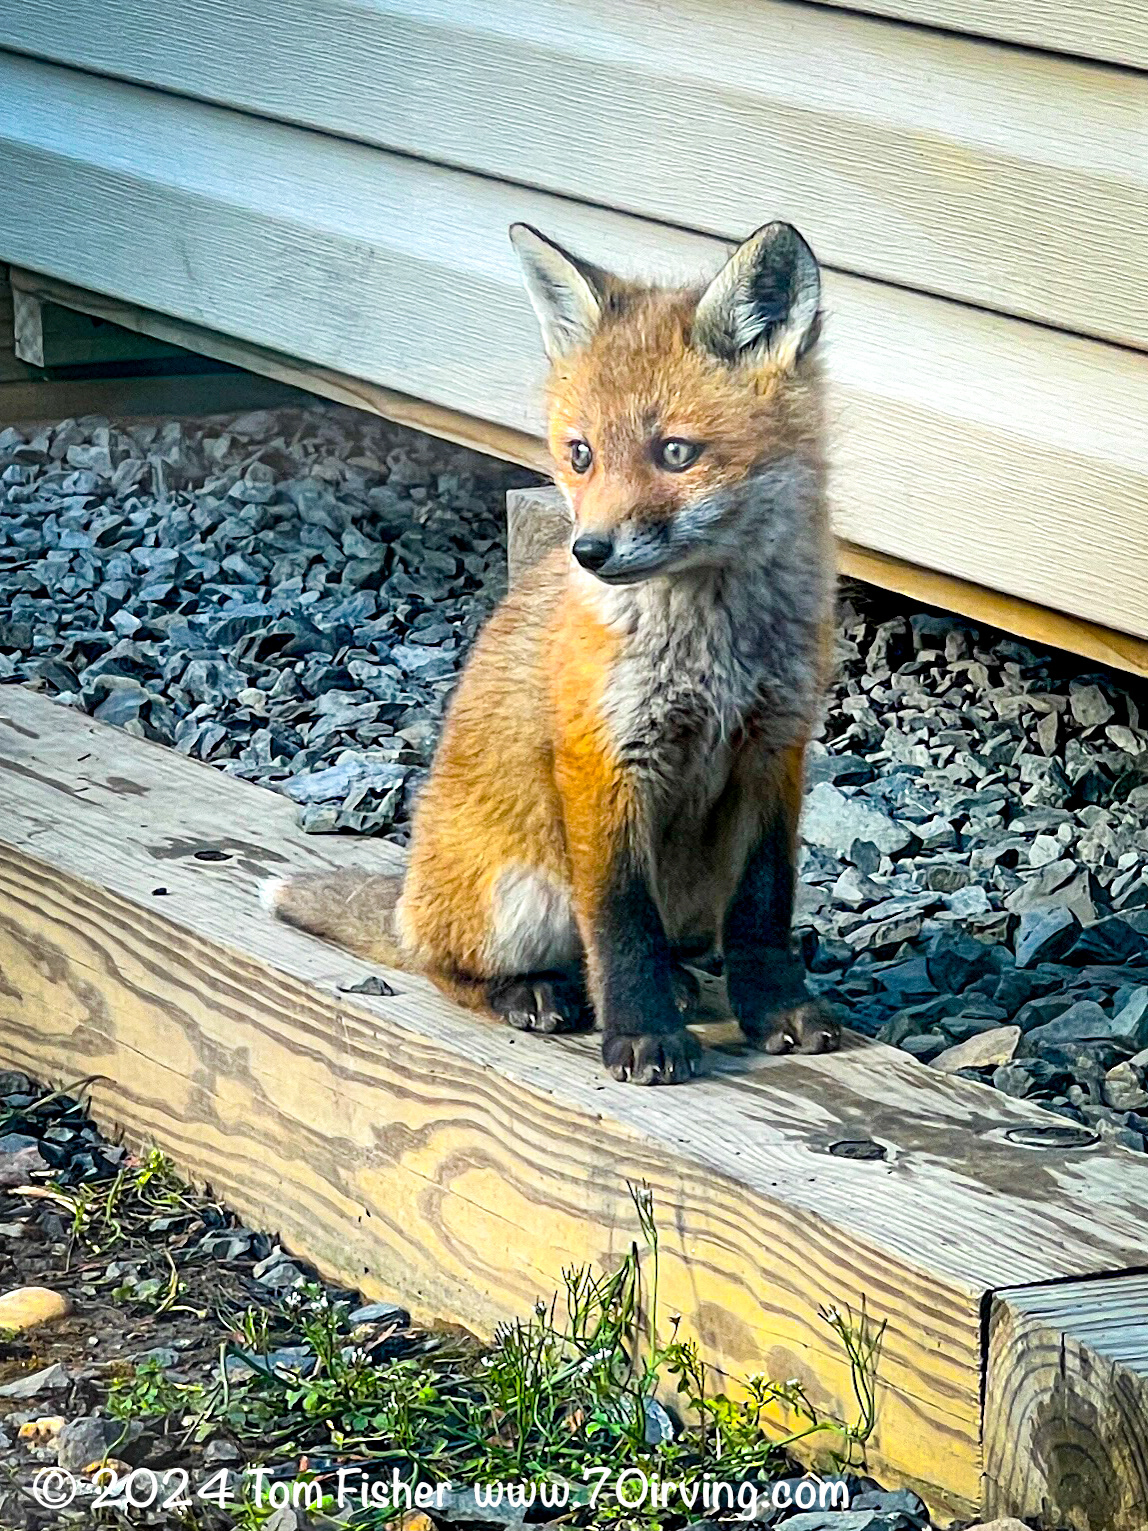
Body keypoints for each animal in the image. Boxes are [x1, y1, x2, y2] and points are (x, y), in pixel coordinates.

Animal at [264, 218, 840, 1084]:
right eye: (580, 455)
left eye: (676, 453)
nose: (590, 550)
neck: (714, 643)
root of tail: (408, 896)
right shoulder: (604, 756)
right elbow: (621, 921)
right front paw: (642, 1034)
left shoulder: (775, 749)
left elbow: (765, 909)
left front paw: (775, 1008)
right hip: (520, 898)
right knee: (447, 965)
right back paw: (532, 993)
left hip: (689, 892)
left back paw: (677, 978)